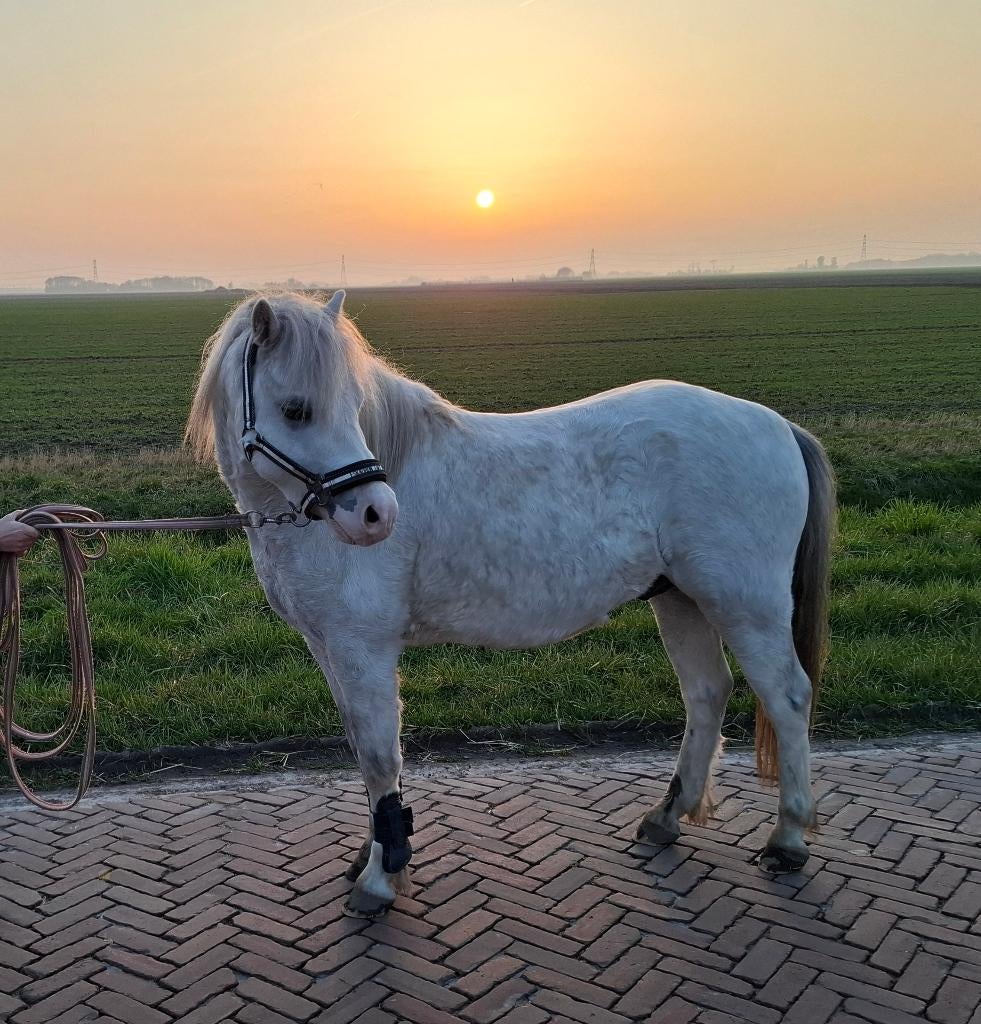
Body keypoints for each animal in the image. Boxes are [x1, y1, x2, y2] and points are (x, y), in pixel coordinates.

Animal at [186, 290, 836, 918]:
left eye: (351, 406)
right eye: (297, 409)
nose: (376, 514)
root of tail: (778, 426)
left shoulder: (362, 647)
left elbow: (378, 754)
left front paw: (380, 875)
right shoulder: (328, 648)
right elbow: (360, 747)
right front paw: (373, 855)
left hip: (746, 605)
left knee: (787, 696)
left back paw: (788, 839)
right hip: (681, 600)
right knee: (707, 693)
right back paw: (666, 817)